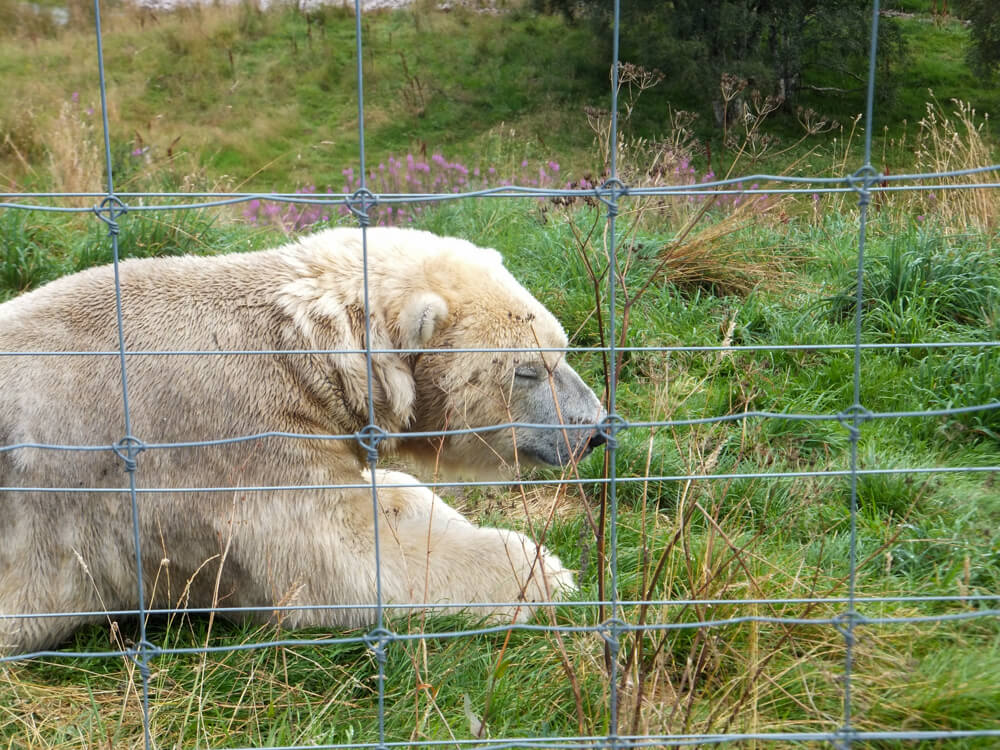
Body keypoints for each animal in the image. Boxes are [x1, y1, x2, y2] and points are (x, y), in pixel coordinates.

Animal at [0, 226, 604, 656]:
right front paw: (545, 571)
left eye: (563, 350)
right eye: (529, 370)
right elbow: (340, 562)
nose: (595, 429)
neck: (302, 350)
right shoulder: (225, 443)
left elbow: (386, 492)